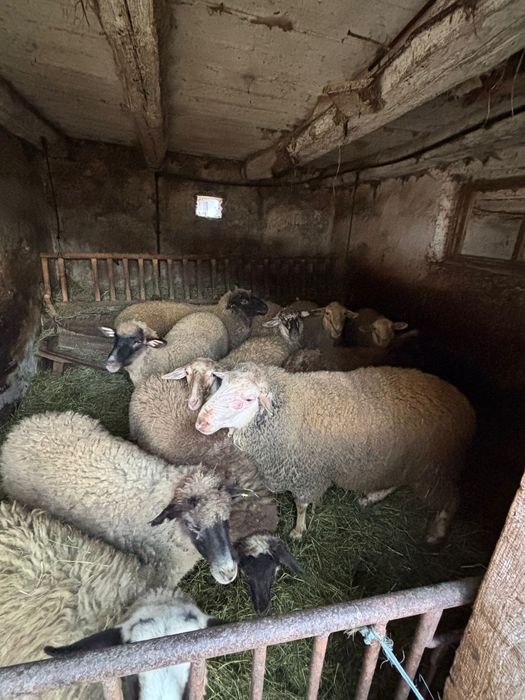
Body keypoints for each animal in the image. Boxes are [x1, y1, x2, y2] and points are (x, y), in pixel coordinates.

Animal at [194, 363, 476, 544]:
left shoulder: (307, 475)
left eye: (248, 399)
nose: (201, 422)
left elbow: (301, 504)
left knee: (451, 498)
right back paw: (371, 497)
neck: (291, 410)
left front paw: (298, 530)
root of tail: (464, 406)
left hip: (433, 467)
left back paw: (437, 532)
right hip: (402, 460)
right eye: (220, 386)